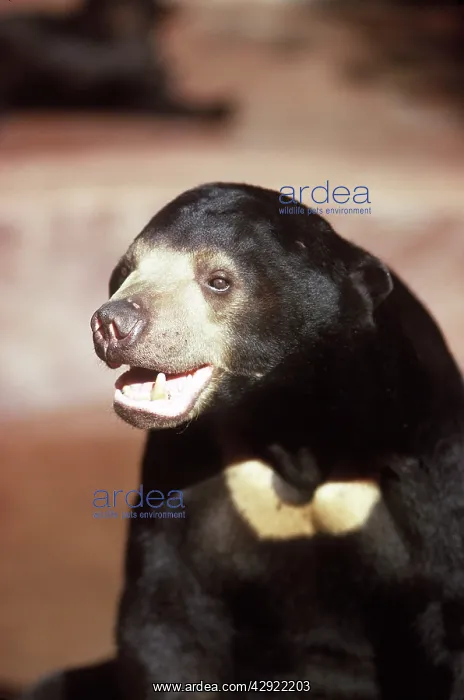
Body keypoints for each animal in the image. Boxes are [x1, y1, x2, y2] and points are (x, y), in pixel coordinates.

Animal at [22, 183, 464, 699]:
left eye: (218, 281)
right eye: (125, 272)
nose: (112, 323)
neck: (289, 420)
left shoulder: (423, 460)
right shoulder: (187, 471)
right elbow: (168, 613)